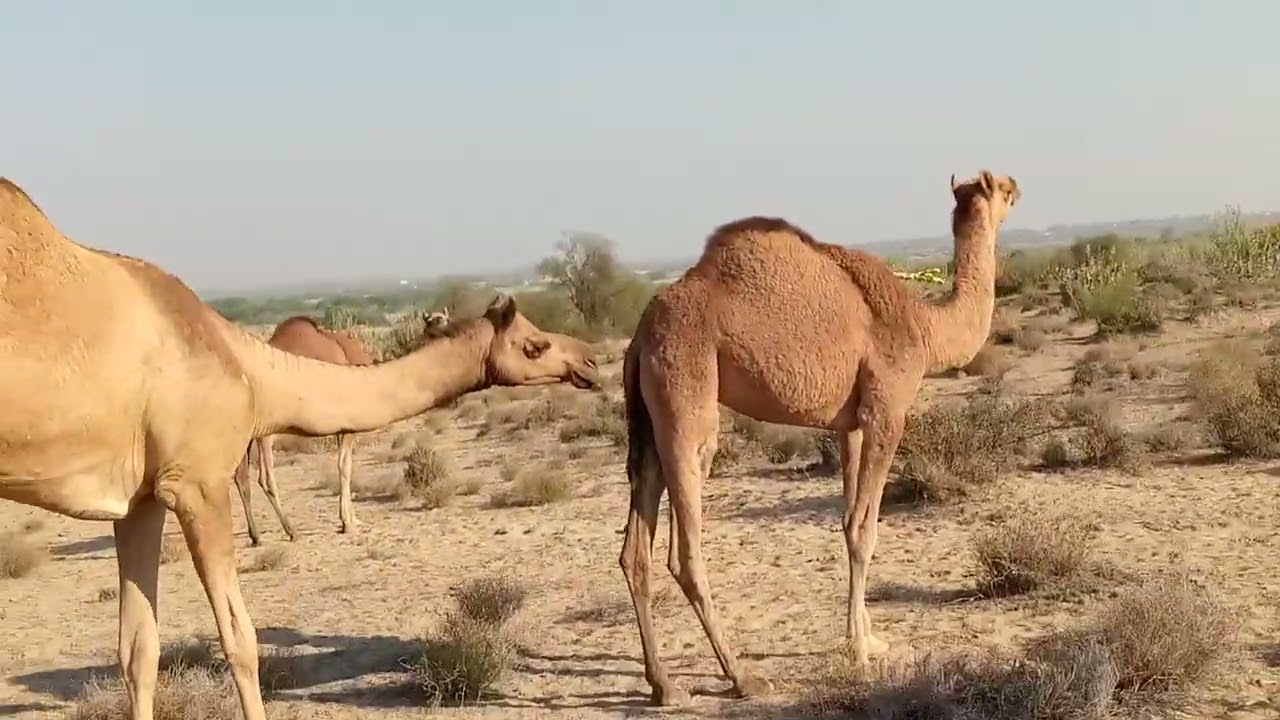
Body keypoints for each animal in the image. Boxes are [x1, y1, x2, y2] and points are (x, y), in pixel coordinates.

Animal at [233, 307, 455, 544]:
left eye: (445, 318)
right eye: (435, 322)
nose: (452, 329)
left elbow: (346, 465)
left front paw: (352, 519)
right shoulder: (347, 426)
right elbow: (344, 467)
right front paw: (347, 522)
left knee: (241, 477)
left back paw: (256, 535)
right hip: (265, 432)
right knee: (265, 478)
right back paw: (291, 530)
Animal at [618, 170, 1020, 706]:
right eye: (1004, 190)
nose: (1019, 188)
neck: (924, 327)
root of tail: (640, 334)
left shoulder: (850, 425)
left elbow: (850, 522)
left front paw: (869, 636)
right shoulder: (887, 410)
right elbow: (865, 530)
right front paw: (860, 651)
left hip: (646, 417)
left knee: (635, 549)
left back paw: (663, 684)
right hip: (686, 392)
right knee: (685, 551)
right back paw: (742, 677)